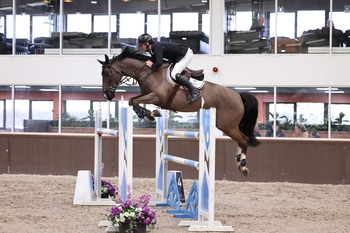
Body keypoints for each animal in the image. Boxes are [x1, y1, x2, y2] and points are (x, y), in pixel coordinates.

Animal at [98, 46, 260, 176]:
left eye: (107, 73)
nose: (107, 95)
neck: (148, 72)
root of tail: (238, 96)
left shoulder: (157, 97)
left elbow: (134, 100)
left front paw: (149, 114)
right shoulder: (148, 96)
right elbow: (132, 101)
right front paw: (150, 114)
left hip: (227, 125)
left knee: (244, 139)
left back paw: (242, 166)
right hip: (228, 125)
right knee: (241, 140)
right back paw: (239, 162)